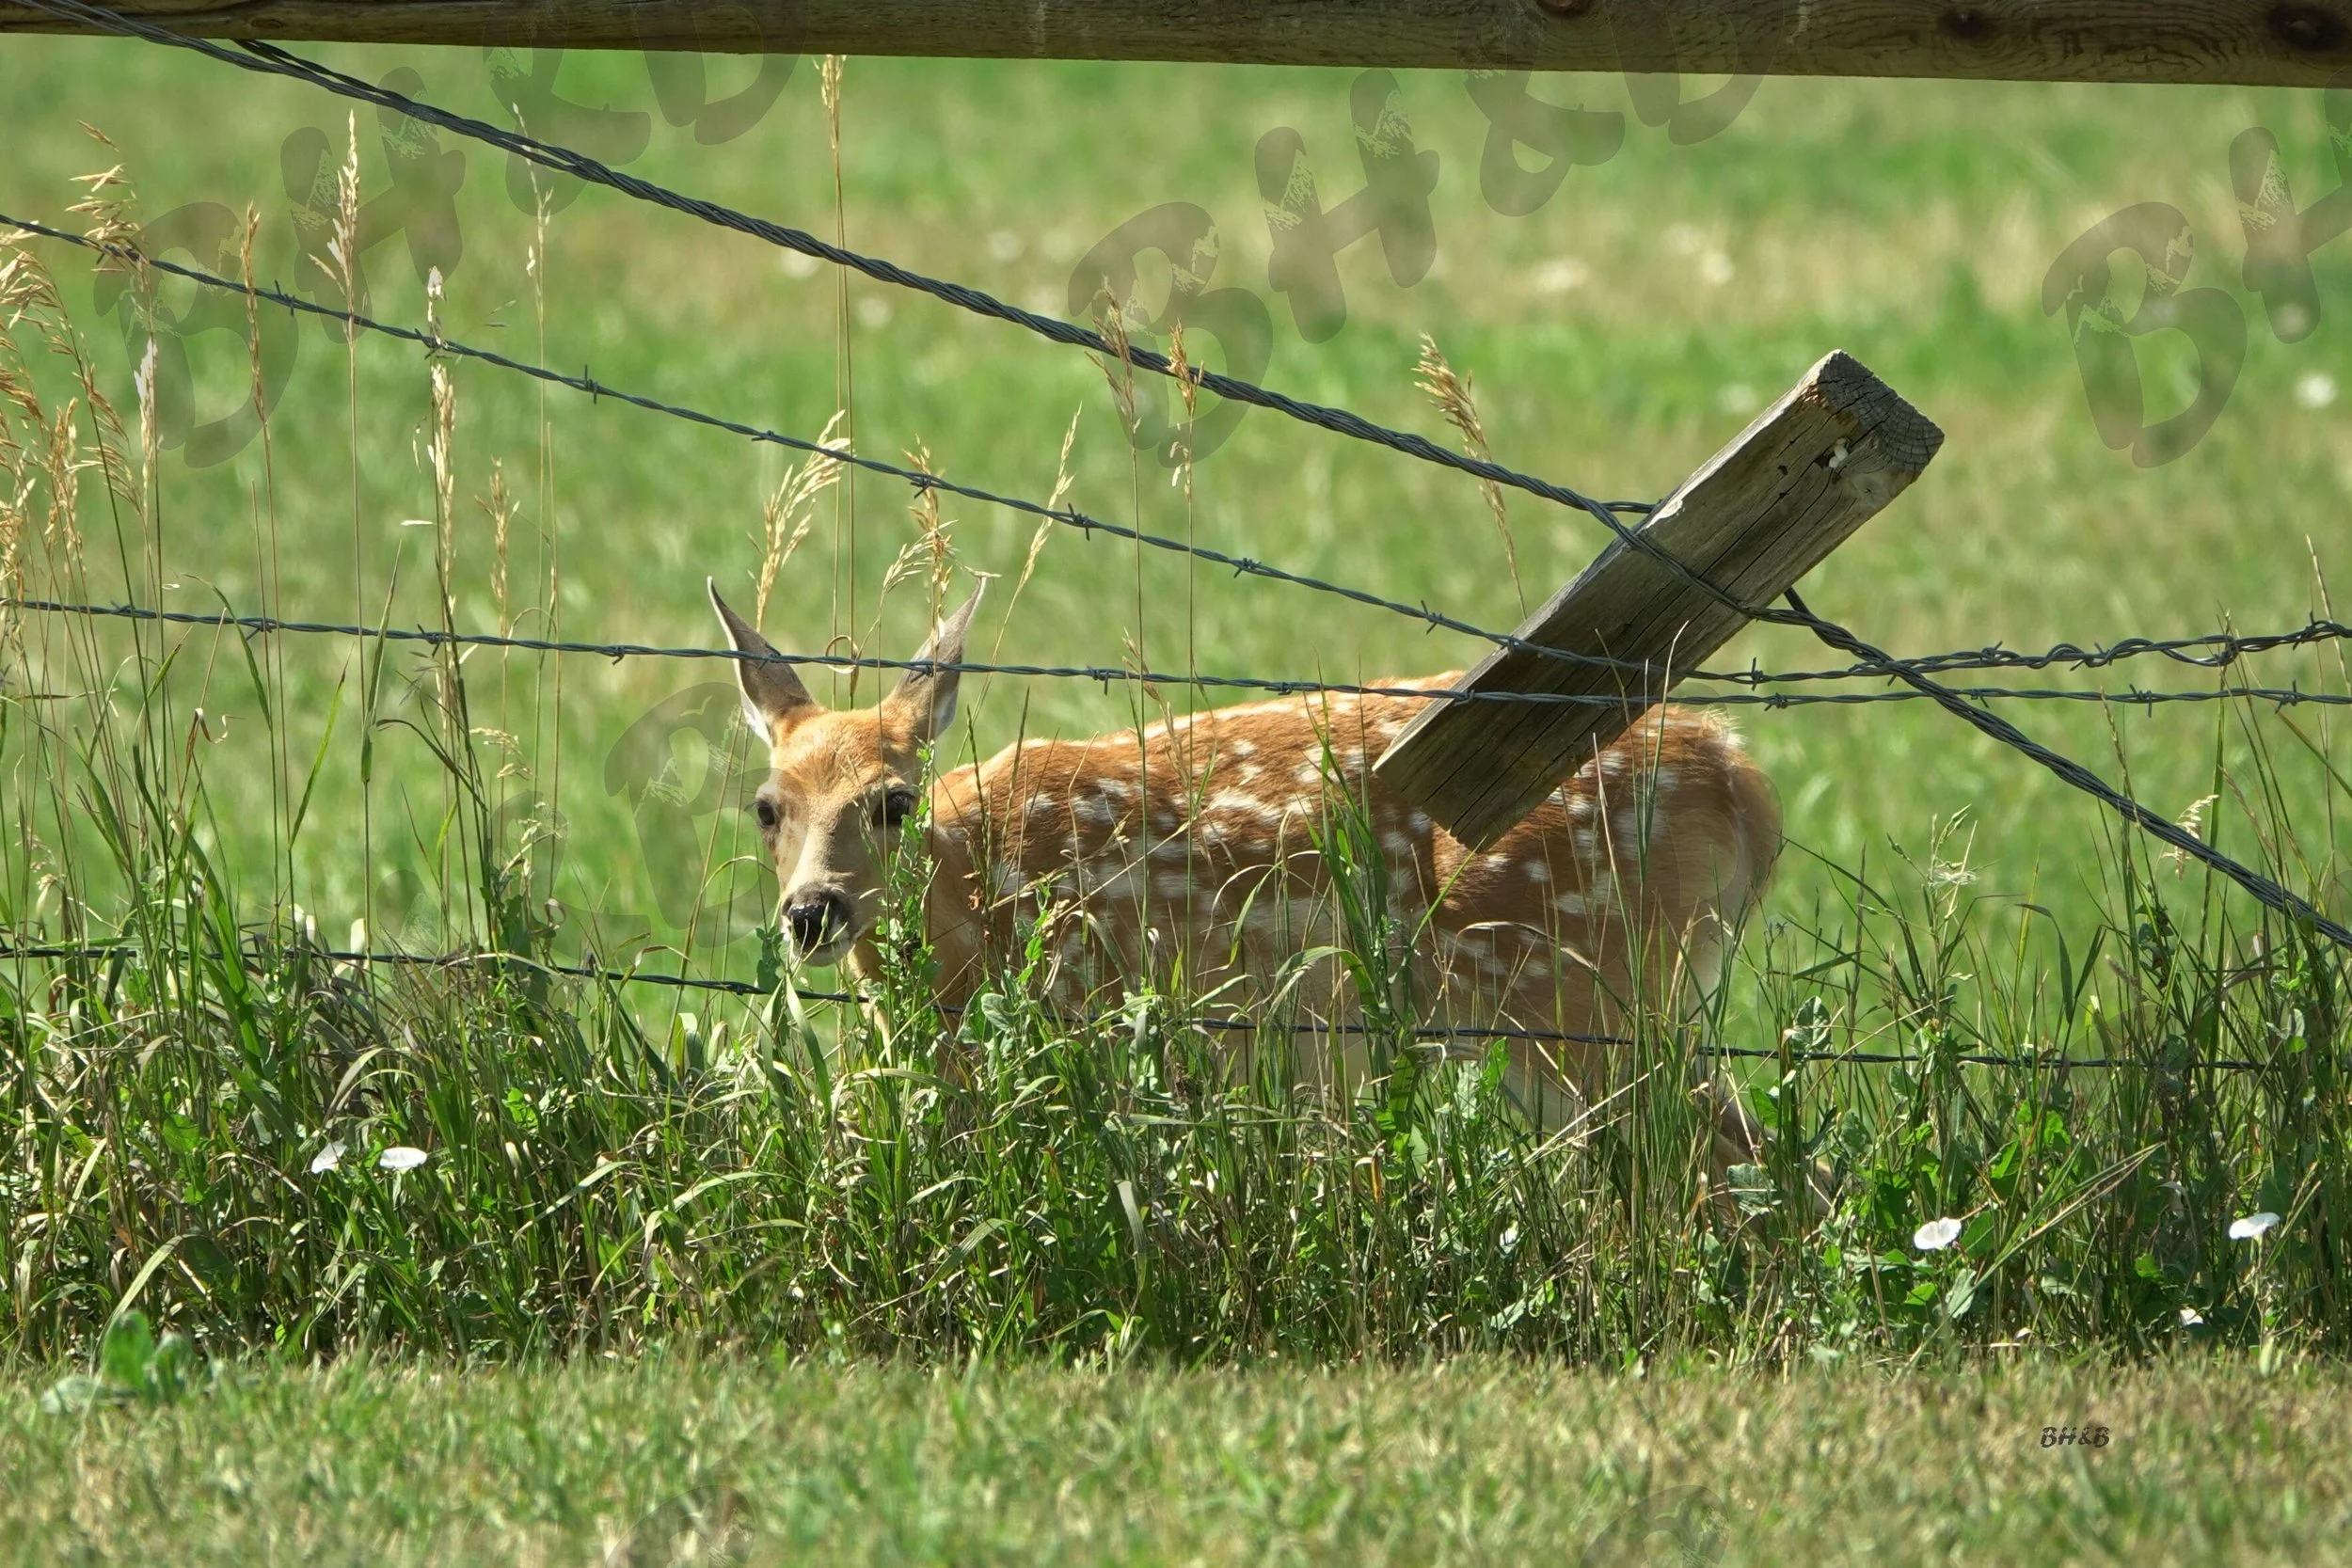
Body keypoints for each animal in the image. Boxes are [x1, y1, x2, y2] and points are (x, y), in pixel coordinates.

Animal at [708, 577, 1785, 1188]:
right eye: (766, 806)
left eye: (893, 801)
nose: (813, 911)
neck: (969, 910)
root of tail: (1743, 781)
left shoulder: (1091, 1016)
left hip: (1590, 995)